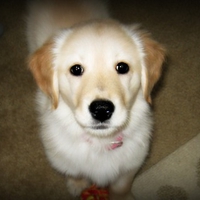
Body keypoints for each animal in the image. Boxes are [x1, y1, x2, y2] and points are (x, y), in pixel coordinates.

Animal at [26, 0, 165, 199]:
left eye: (122, 67)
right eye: (76, 69)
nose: (101, 110)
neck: (101, 141)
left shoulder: (131, 164)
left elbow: (121, 186)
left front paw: (122, 196)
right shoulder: (62, 158)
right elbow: (74, 172)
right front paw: (77, 185)